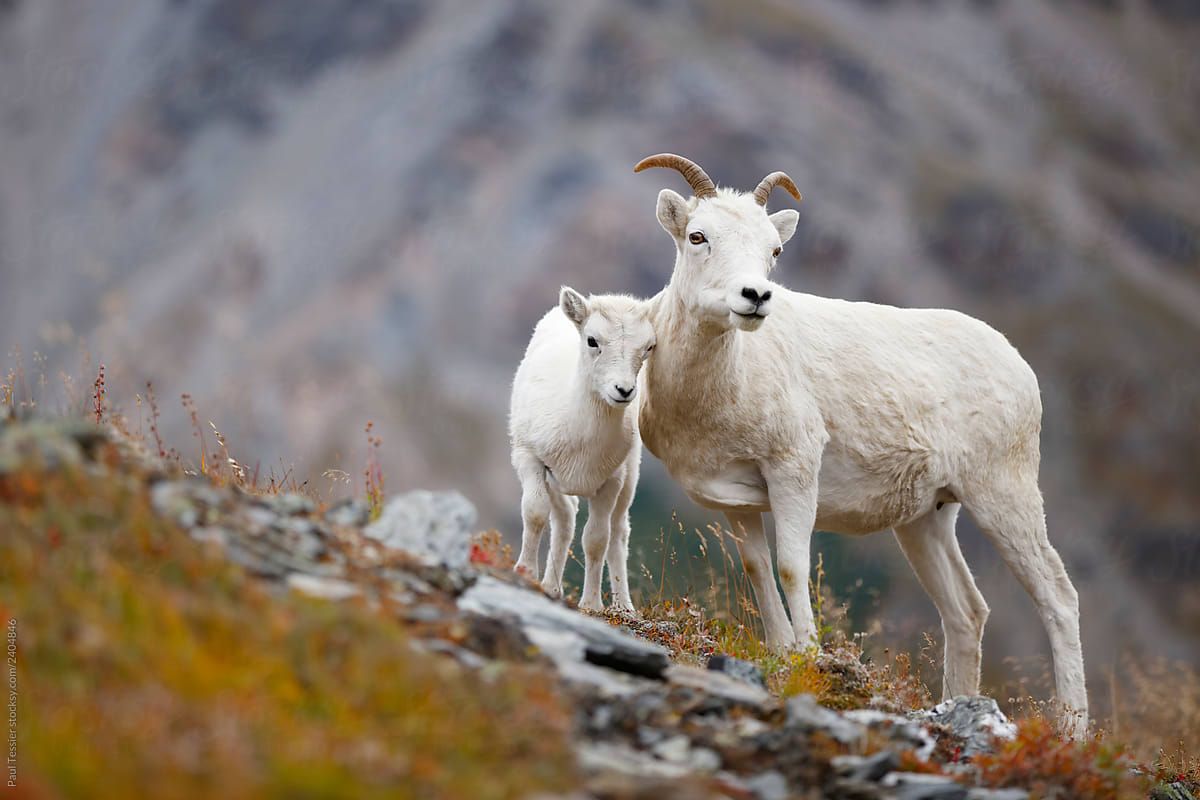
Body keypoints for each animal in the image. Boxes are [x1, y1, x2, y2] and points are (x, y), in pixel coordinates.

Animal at [506, 287, 657, 614]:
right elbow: (535, 514)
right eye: (592, 340)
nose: (623, 390)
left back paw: (623, 606)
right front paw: (524, 573)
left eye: (649, 347)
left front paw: (591, 605)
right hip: (555, 482)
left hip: (630, 477)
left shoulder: (611, 481)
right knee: (564, 519)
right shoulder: (530, 460)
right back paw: (551, 587)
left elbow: (597, 539)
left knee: (618, 532)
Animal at [638, 153, 1089, 734]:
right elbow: (759, 571)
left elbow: (791, 566)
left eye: (773, 250)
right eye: (698, 236)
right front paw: (781, 655)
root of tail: (1018, 367)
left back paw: (1074, 730)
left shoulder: (793, 472)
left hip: (1003, 495)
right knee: (967, 611)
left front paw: (807, 660)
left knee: (1058, 597)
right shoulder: (736, 502)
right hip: (927, 520)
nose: (755, 298)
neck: (722, 386)